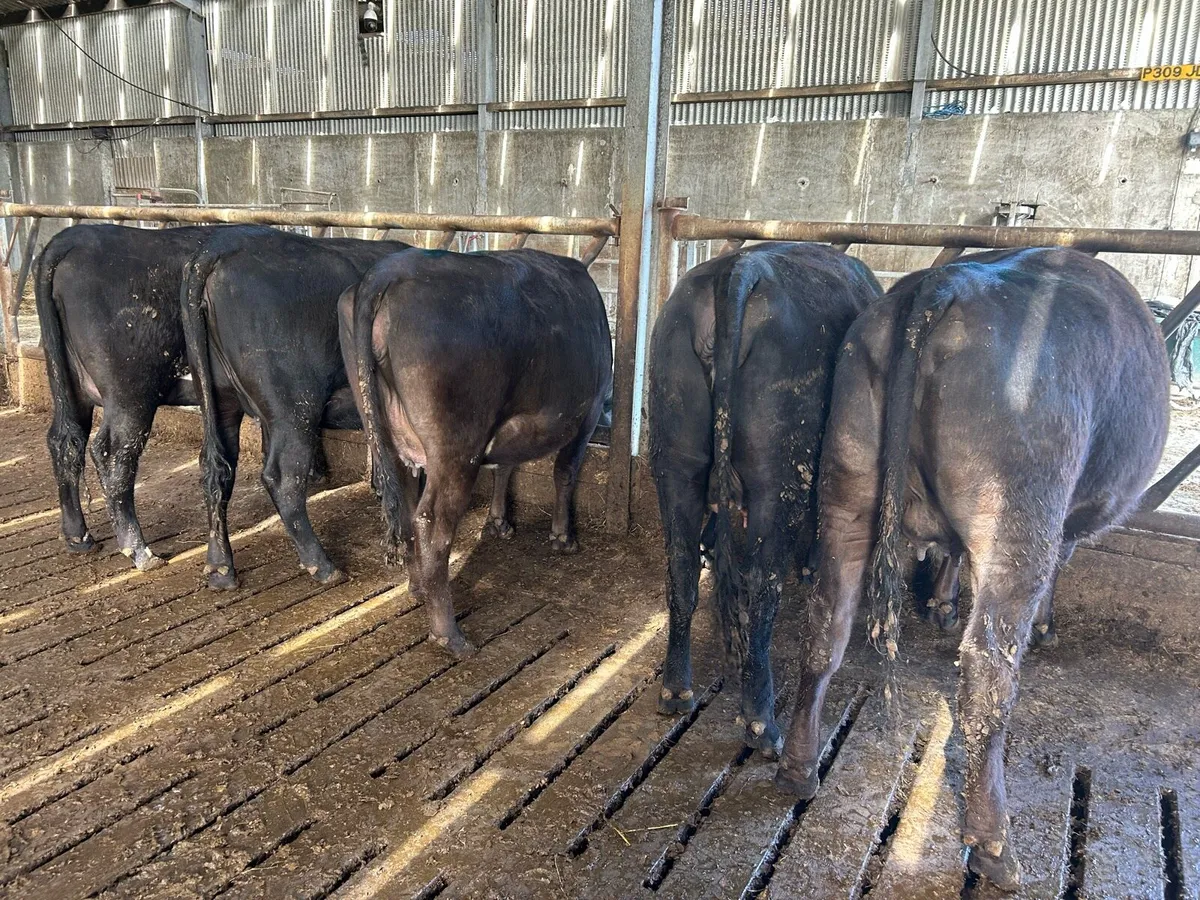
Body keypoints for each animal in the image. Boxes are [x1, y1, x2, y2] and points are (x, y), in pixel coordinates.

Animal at [35, 223, 224, 569]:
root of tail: (74, 236)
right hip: (131, 393)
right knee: (114, 453)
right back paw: (140, 551)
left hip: (70, 384)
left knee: (64, 441)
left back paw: (78, 538)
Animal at [179, 226, 411, 590]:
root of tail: (220, 247)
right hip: (293, 407)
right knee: (283, 478)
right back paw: (323, 566)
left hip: (218, 400)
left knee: (215, 470)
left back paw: (220, 569)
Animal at [339, 247, 613, 658]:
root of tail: (391, 268)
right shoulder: (589, 411)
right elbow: (565, 471)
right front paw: (563, 537)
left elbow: (505, 465)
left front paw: (499, 522)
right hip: (456, 446)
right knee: (432, 520)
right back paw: (449, 634)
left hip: (388, 433)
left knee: (406, 508)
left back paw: (418, 586)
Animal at [647, 243, 882, 756]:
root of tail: (738, 268)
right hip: (779, 480)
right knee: (761, 587)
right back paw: (760, 722)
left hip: (675, 465)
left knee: (681, 570)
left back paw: (676, 689)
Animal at [774, 248, 1170, 890]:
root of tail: (946, 281)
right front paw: (1043, 625)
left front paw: (940, 601)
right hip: (1016, 515)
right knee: (987, 673)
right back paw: (993, 846)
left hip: (845, 488)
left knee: (824, 625)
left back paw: (796, 767)